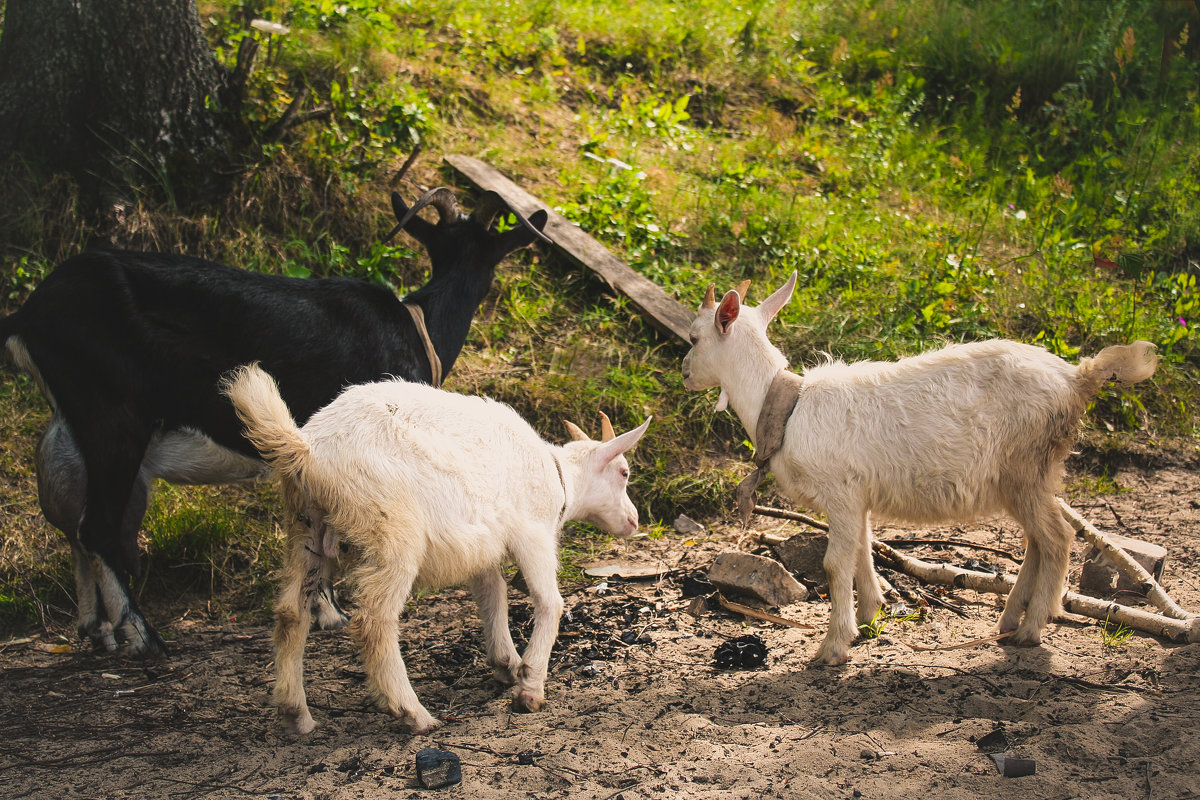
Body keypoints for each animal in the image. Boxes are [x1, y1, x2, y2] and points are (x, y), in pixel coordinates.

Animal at [1, 185, 549, 657]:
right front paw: (330, 610)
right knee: (97, 527)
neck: (419, 328)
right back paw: (141, 636)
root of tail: (27, 314)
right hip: (113, 414)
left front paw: (323, 612)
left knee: (79, 524)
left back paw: (99, 632)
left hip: (82, 427)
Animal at [220, 367, 652, 734]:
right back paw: (412, 713)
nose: (633, 521)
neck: (559, 475)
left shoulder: (484, 545)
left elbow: (493, 593)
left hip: (305, 529)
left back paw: (297, 714)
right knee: (374, 619)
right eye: (624, 472)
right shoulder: (533, 533)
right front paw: (530, 686)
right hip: (392, 530)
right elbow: (550, 602)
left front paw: (507, 663)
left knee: (291, 613)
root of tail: (307, 449)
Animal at [686, 272, 1161, 666]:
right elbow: (863, 550)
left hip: (1026, 465)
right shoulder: (857, 498)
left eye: (692, 337)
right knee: (1039, 540)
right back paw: (1010, 619)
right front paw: (870, 615)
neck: (788, 410)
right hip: (1031, 475)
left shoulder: (840, 492)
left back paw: (1031, 629)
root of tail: (1078, 379)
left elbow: (836, 563)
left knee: (1058, 538)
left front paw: (833, 646)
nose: (685, 374)